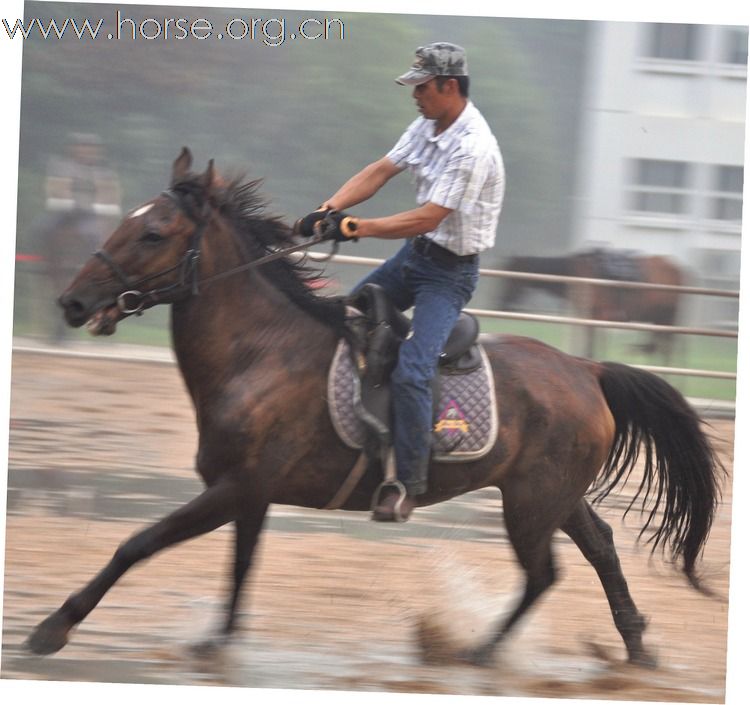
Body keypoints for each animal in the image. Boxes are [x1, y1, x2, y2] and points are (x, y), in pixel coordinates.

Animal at [500, 250, 688, 360]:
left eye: (512, 277)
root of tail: (678, 269)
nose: (503, 305)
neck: (576, 273)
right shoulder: (590, 319)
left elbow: (590, 349)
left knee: (665, 349)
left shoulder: (595, 317)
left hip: (666, 318)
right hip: (659, 319)